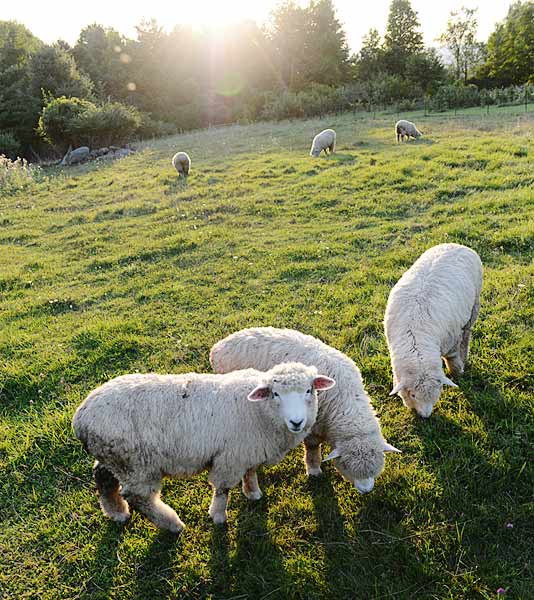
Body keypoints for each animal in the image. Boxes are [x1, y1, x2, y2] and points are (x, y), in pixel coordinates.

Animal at [71, 360, 332, 528]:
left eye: (309, 390)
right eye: (275, 394)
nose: (297, 422)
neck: (258, 411)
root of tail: (80, 419)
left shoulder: (247, 451)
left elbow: (251, 473)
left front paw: (253, 493)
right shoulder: (229, 458)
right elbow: (223, 489)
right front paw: (218, 517)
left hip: (115, 458)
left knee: (103, 477)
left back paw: (116, 513)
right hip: (136, 466)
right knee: (139, 496)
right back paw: (171, 524)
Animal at [209, 328, 402, 496]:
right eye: (346, 465)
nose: (366, 490)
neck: (346, 400)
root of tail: (218, 347)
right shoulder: (312, 425)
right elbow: (312, 447)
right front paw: (314, 469)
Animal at [386, 243, 486, 418]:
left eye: (437, 392)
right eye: (413, 395)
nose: (425, 416)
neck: (416, 338)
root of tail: (457, 244)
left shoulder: (451, 341)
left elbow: (452, 359)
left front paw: (457, 372)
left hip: (474, 305)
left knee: (466, 335)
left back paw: (464, 357)